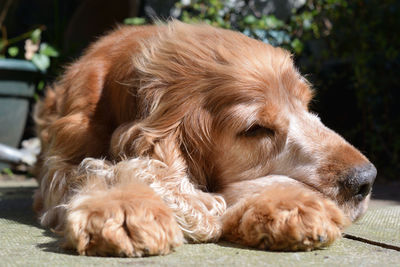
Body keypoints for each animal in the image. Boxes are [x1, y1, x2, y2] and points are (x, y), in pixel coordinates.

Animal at [33, 21, 376, 258]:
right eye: (255, 129)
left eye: (307, 106)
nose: (366, 180)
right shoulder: (61, 162)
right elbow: (98, 169)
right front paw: (122, 207)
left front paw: (289, 205)